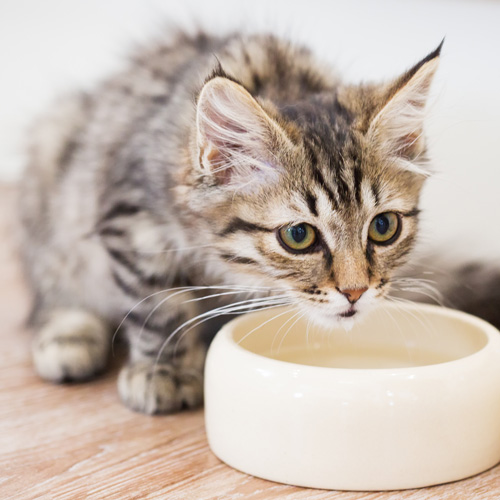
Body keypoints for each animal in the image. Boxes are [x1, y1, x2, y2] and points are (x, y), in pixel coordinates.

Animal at [18, 32, 442, 414]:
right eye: (298, 236)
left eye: (383, 227)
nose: (356, 292)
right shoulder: (133, 224)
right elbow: (159, 306)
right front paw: (165, 372)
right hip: (50, 164)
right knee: (48, 293)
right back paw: (69, 337)